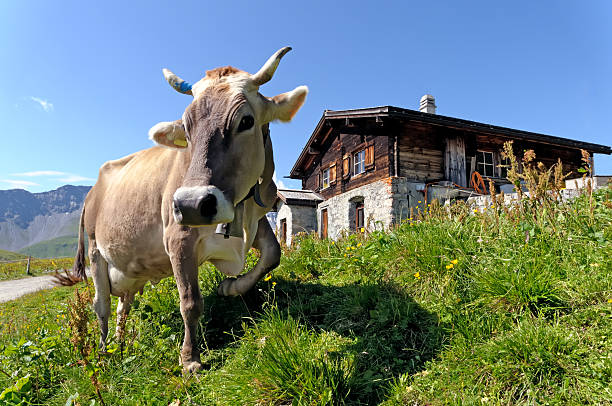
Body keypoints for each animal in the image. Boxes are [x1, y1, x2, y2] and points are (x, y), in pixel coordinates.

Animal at [72, 46, 308, 372]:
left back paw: (121, 344)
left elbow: (273, 254)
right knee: (102, 305)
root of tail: (93, 188)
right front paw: (190, 360)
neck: (242, 214)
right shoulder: (178, 237)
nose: (191, 204)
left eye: (246, 121)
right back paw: (104, 353)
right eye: (186, 128)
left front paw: (230, 287)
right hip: (96, 250)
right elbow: (190, 301)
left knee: (123, 305)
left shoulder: (252, 216)